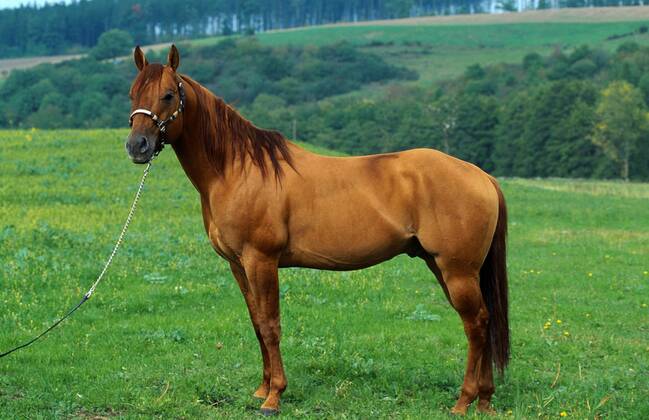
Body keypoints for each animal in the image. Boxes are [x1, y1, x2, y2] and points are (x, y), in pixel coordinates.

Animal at [125, 45, 510, 416]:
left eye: (168, 95)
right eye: (132, 93)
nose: (137, 146)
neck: (238, 169)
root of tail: (482, 176)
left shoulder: (261, 261)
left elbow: (271, 325)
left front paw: (273, 397)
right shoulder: (238, 265)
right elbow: (256, 324)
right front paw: (262, 388)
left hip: (456, 270)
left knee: (475, 324)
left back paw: (463, 401)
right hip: (444, 267)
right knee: (483, 321)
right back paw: (485, 401)